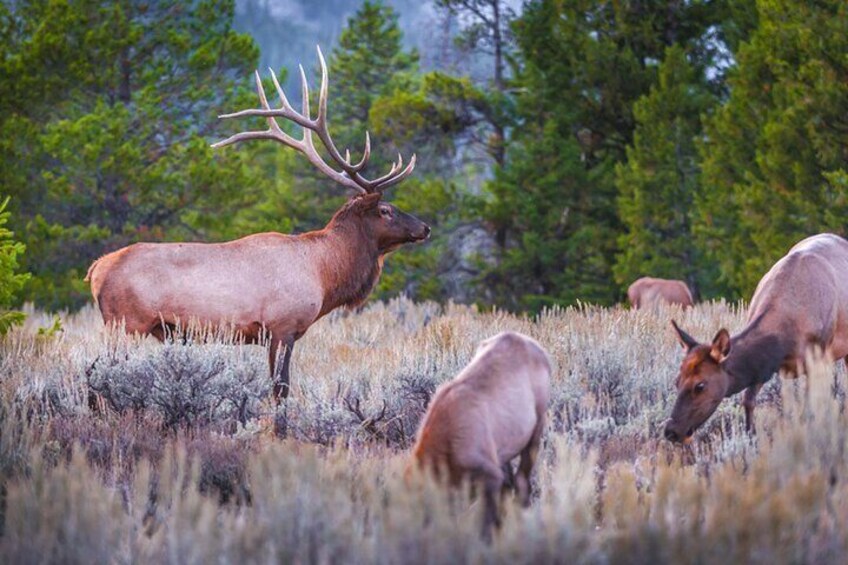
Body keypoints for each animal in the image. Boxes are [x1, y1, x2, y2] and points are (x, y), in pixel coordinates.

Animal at [84, 47, 430, 400]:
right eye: (386, 210)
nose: (425, 228)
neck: (324, 273)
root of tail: (96, 269)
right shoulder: (283, 326)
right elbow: (281, 388)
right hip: (127, 323)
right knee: (96, 372)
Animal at [664, 231, 848, 442]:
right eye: (676, 381)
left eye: (700, 385)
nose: (671, 431)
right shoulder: (765, 367)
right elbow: (749, 400)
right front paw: (750, 436)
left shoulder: (817, 359)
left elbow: (811, 408)